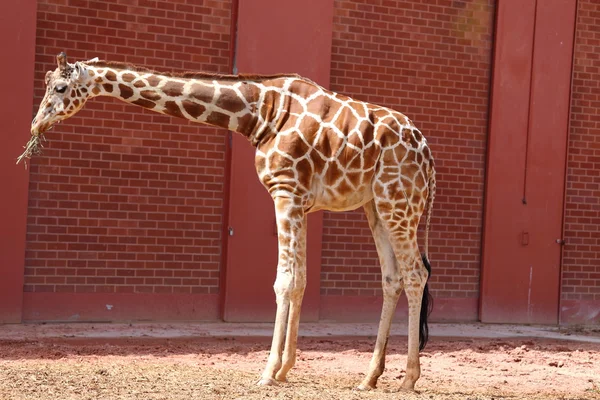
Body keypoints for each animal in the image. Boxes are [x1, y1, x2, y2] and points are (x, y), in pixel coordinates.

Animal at [31, 52, 436, 390]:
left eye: (61, 88)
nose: (36, 126)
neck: (260, 113)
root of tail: (429, 160)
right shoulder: (300, 201)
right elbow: (301, 280)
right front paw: (285, 369)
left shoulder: (285, 192)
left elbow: (284, 281)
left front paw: (267, 372)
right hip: (376, 207)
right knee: (392, 278)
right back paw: (369, 378)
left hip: (399, 202)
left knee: (416, 274)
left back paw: (408, 379)